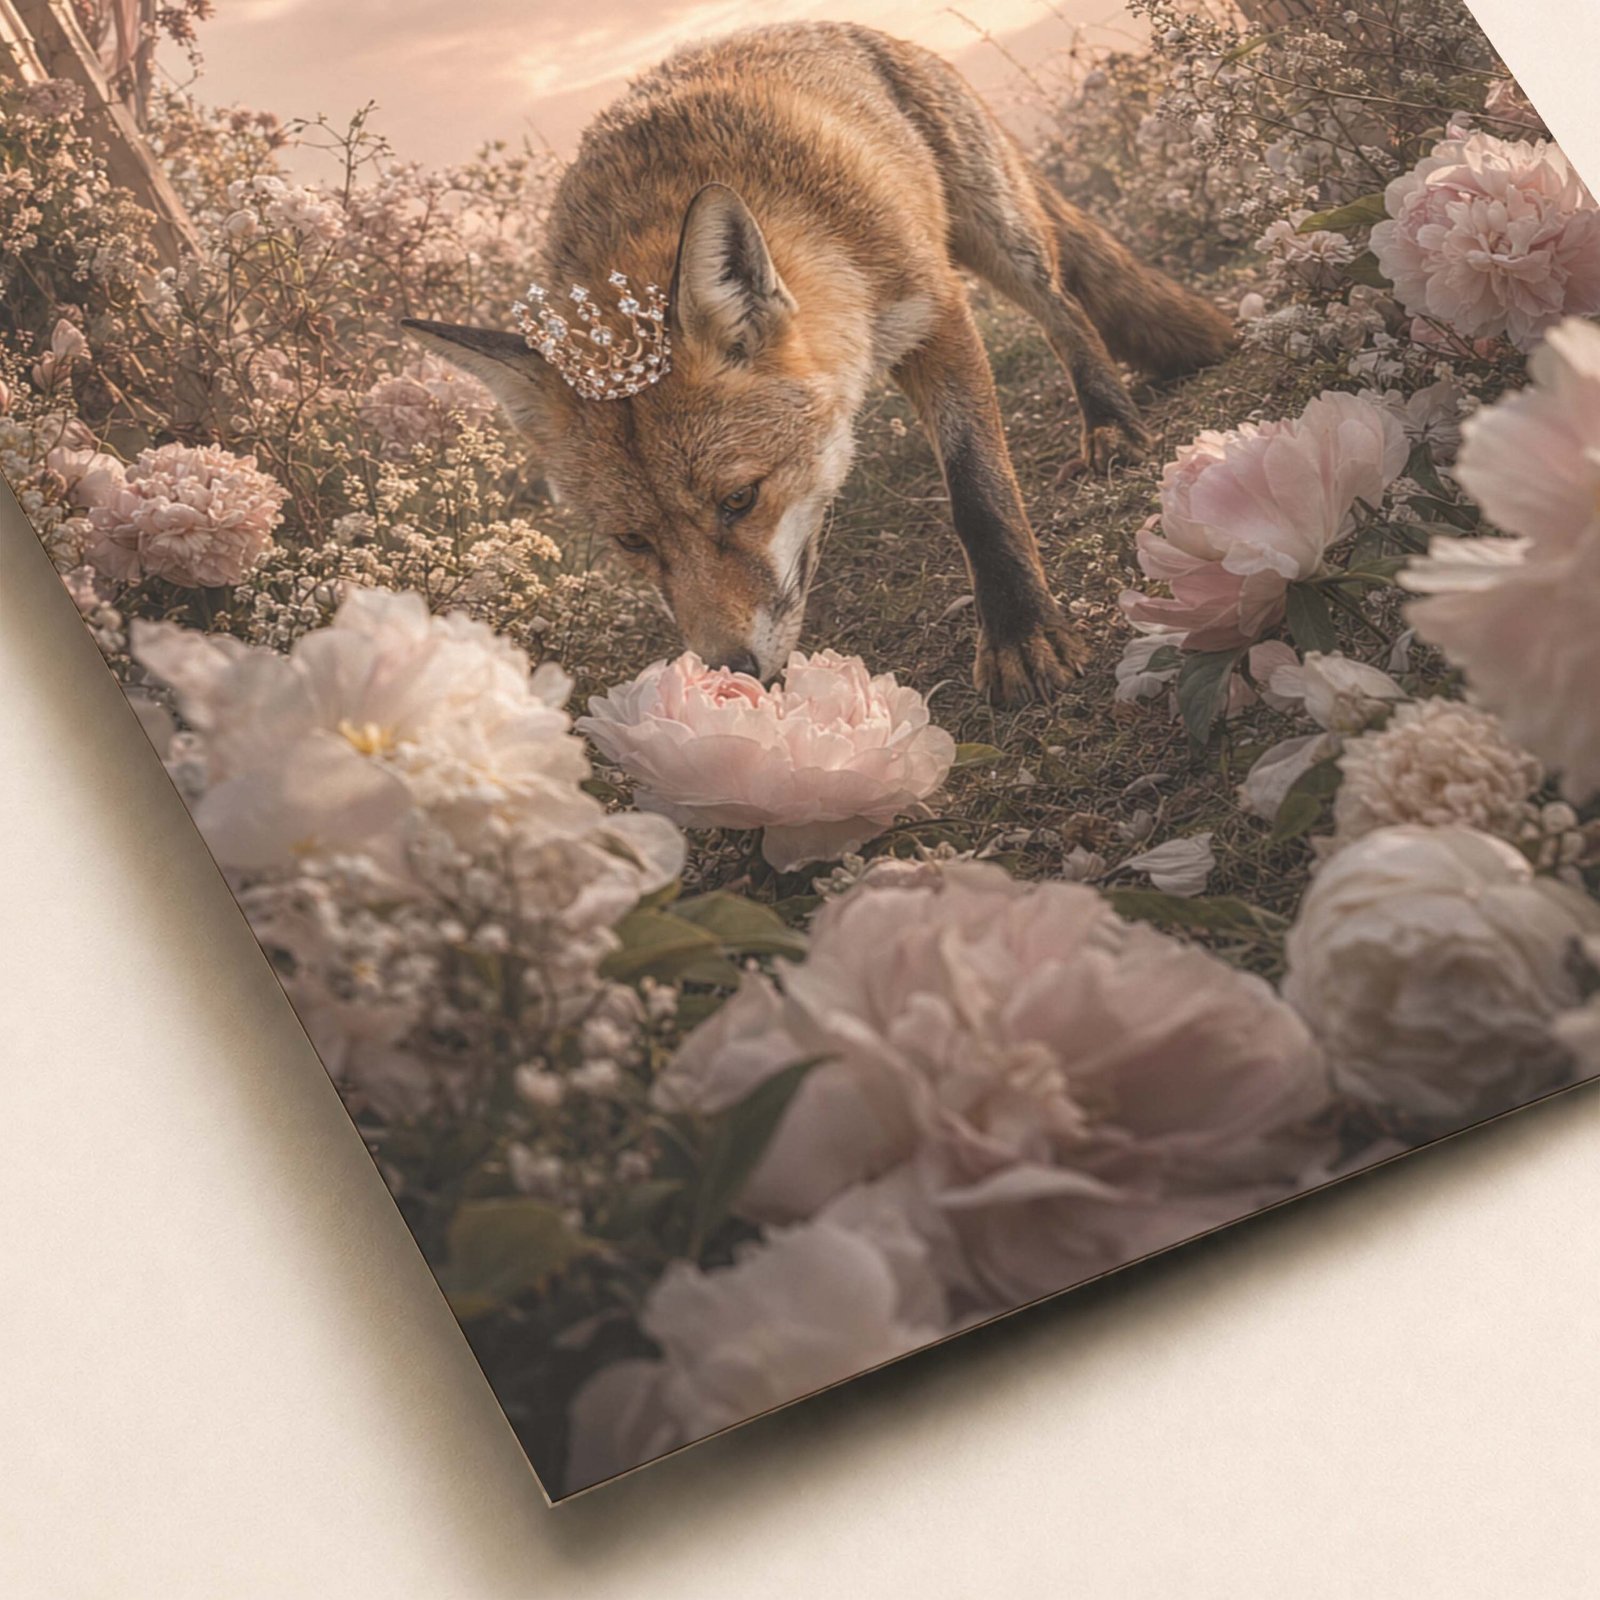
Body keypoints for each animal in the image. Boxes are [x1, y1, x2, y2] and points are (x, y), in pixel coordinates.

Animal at [405, 21, 1233, 705]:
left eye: (740, 499)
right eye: (632, 543)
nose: (730, 671)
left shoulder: (936, 311)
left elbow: (981, 494)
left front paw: (1021, 634)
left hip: (999, 234)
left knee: (1069, 313)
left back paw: (1109, 421)